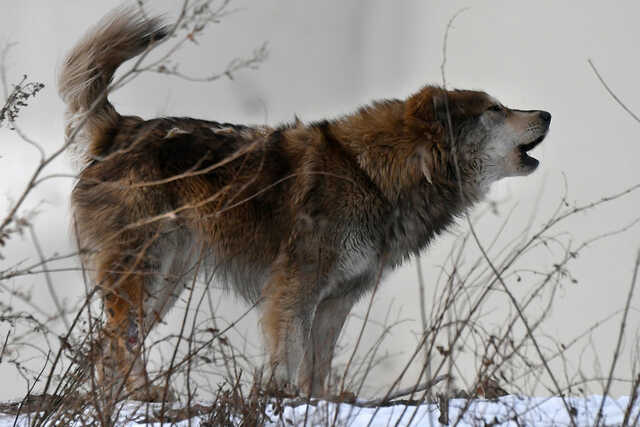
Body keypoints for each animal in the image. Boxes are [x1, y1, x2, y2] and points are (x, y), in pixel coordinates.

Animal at [58, 7, 552, 402]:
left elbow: (318, 366)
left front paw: (319, 404)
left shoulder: (336, 302)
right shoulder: (295, 290)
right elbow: (290, 354)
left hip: (168, 282)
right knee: (119, 340)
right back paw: (144, 396)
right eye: (495, 109)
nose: (547, 113)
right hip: (147, 273)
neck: (375, 175)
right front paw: (282, 398)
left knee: (105, 347)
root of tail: (122, 129)